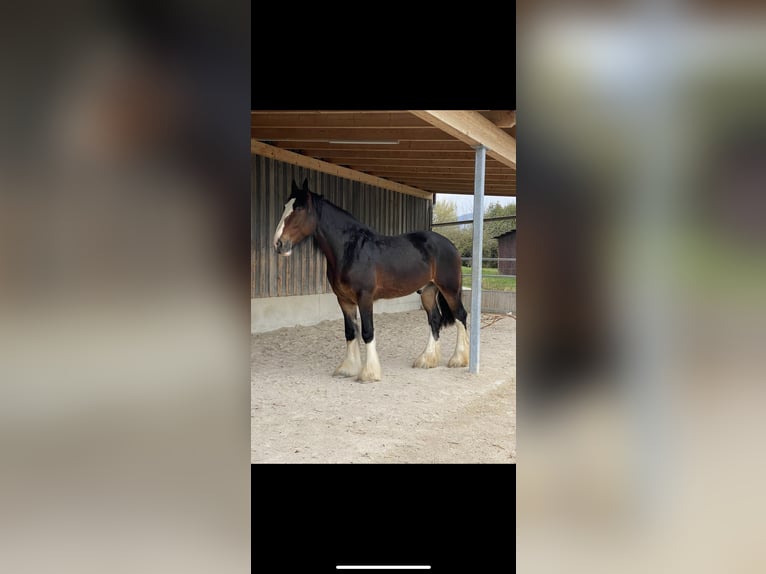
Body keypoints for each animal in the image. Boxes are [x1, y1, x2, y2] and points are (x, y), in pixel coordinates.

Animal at [273, 178, 469, 382]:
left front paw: (369, 373)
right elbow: (350, 332)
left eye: (299, 208)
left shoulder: (365, 298)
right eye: (285, 206)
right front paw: (348, 369)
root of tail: (450, 245)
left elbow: (367, 331)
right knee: (434, 319)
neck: (351, 250)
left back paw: (458, 359)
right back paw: (427, 360)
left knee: (460, 316)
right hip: (428, 291)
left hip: (450, 289)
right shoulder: (344, 300)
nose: (278, 243)